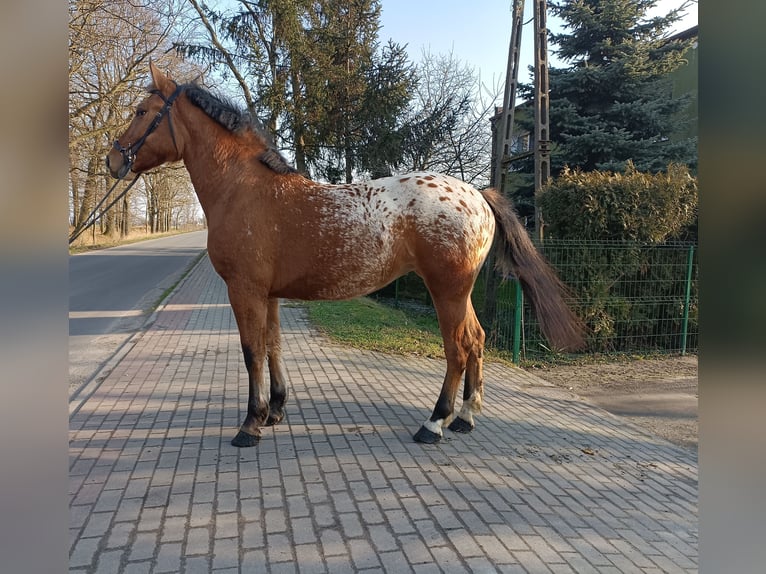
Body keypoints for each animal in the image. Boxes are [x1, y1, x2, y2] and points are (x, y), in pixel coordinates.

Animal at [106, 64, 588, 450]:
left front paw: (250, 424)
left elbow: (251, 351)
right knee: (477, 339)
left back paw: (434, 423)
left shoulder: (244, 290)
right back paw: (466, 417)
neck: (244, 190)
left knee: (457, 348)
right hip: (460, 292)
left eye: (142, 112)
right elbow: (273, 345)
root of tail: (479, 195)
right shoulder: (270, 294)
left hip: (447, 291)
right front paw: (275, 410)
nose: (113, 159)